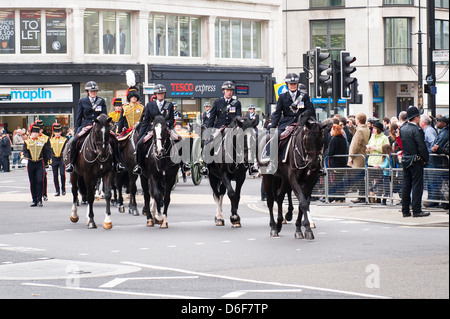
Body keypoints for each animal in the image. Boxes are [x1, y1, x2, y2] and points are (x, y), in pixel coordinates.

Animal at [262, 111, 326, 239]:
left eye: (322, 140)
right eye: (307, 139)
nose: (314, 164)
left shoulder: (310, 181)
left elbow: (303, 203)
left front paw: (300, 228)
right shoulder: (294, 179)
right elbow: (303, 203)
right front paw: (307, 229)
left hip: (284, 179)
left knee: (279, 196)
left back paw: (279, 223)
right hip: (269, 177)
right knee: (270, 200)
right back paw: (273, 227)